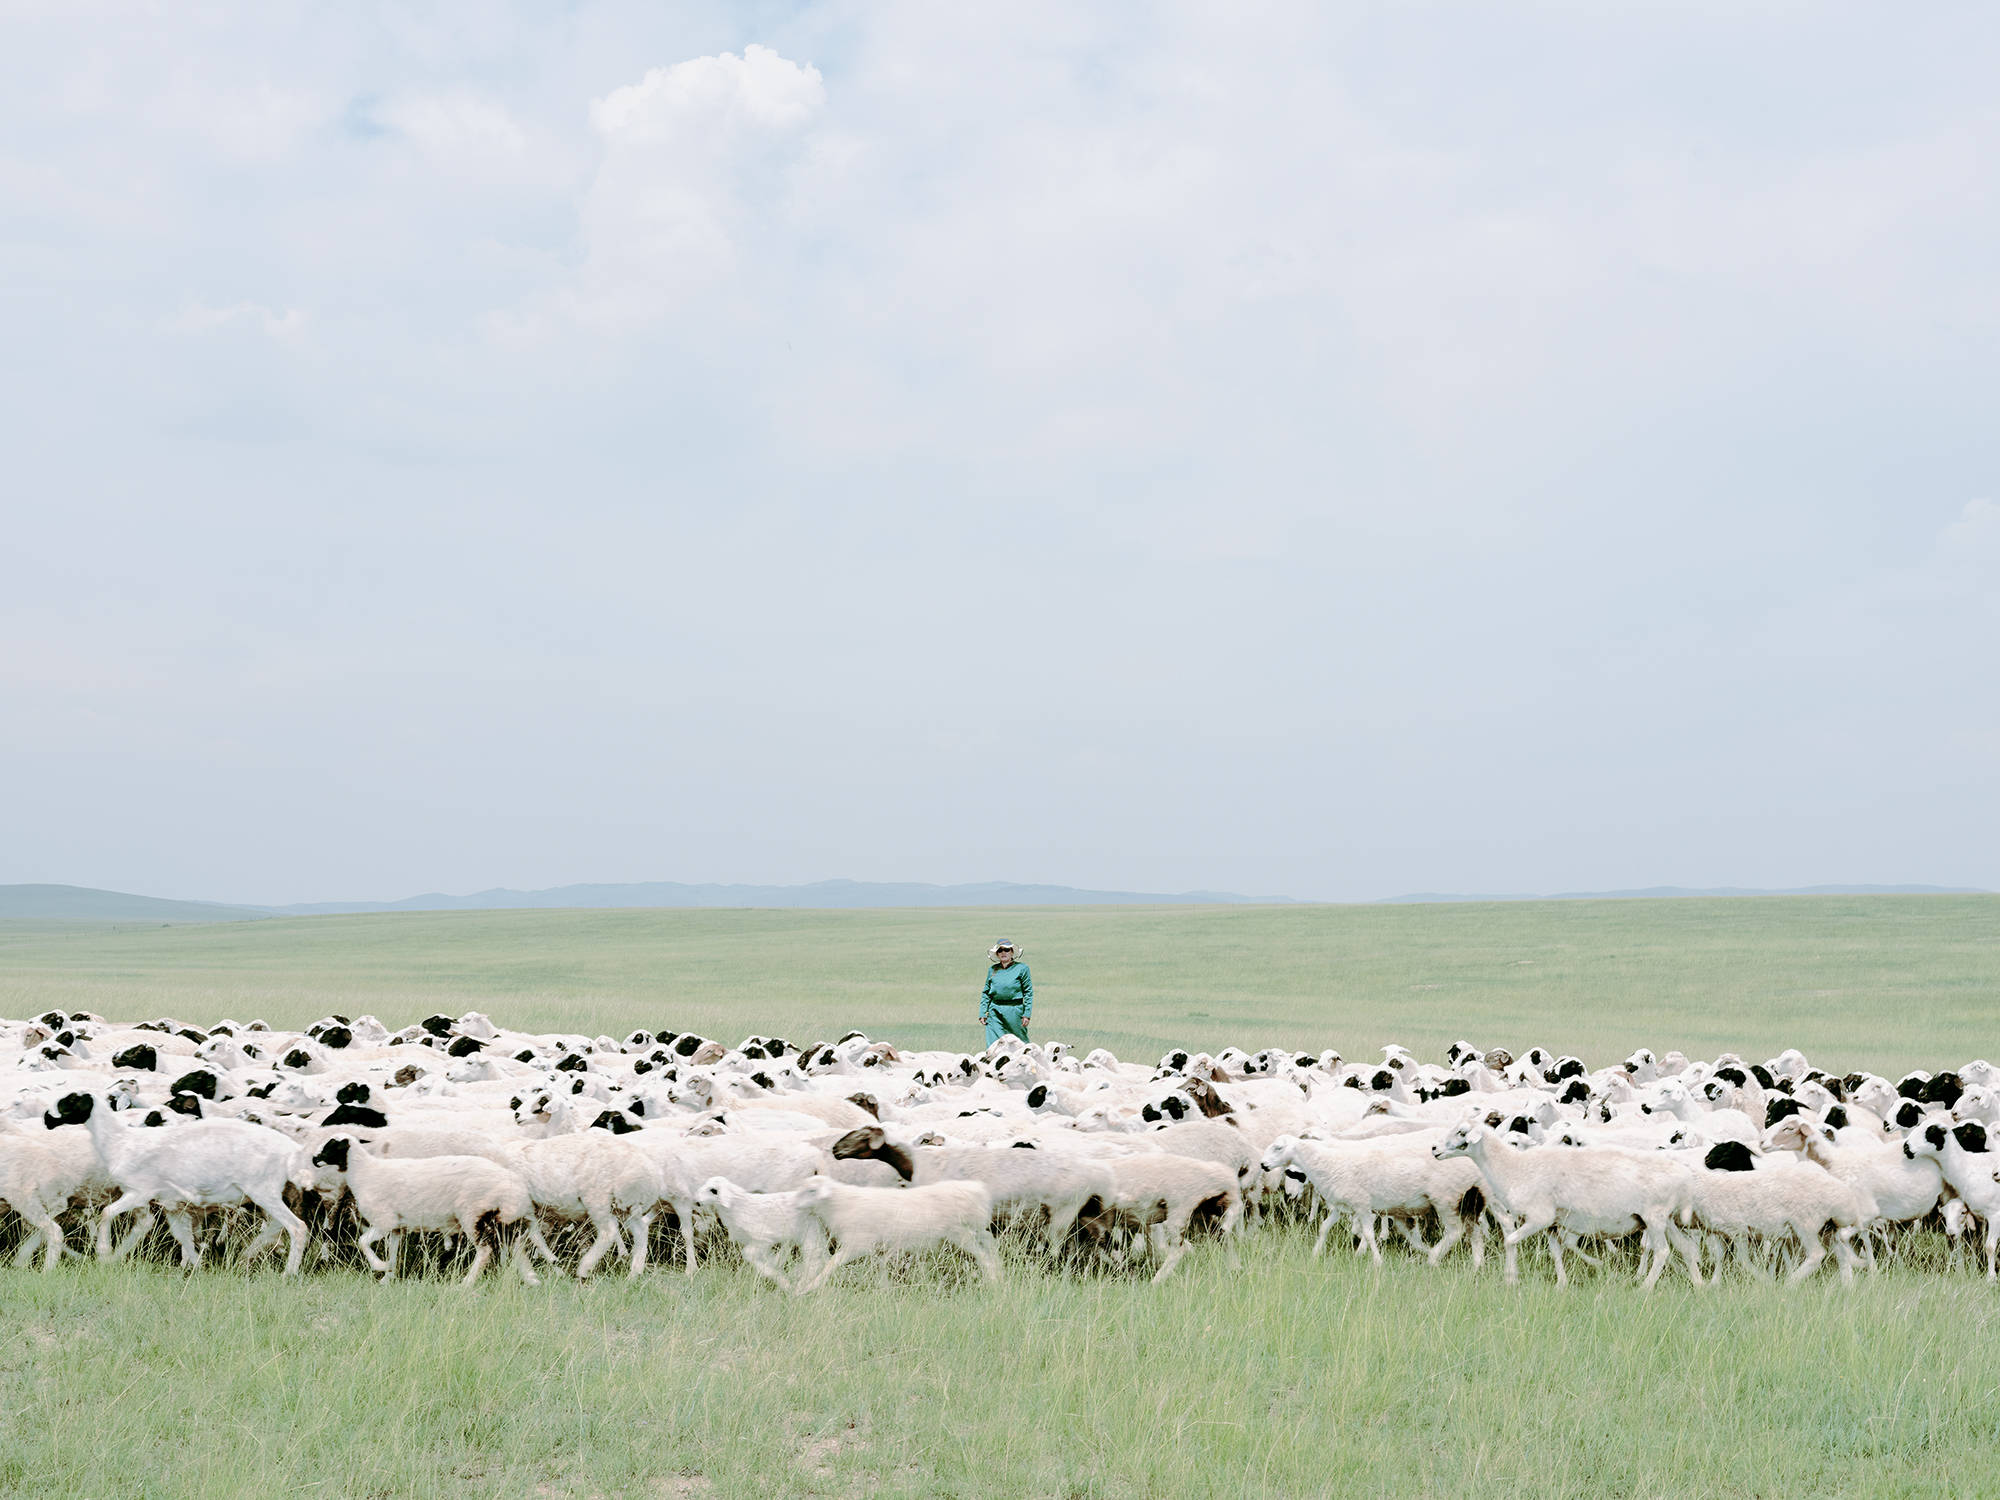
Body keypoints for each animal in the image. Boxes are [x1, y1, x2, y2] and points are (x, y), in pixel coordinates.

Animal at [308, 1136, 540, 1288]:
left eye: (330, 1145)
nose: (313, 1159)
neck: (363, 1173)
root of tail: (511, 1181)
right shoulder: (396, 1228)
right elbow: (393, 1253)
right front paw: (387, 1276)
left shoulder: (384, 1221)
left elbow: (362, 1242)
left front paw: (379, 1266)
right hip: (498, 1217)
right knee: (515, 1246)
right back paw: (531, 1279)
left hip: (473, 1214)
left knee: (485, 1250)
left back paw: (466, 1283)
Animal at [784, 1176, 996, 1296]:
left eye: (811, 1190)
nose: (792, 1205)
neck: (840, 1203)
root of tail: (976, 1190)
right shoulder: (878, 1248)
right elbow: (881, 1269)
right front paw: (884, 1291)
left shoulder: (857, 1243)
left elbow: (831, 1265)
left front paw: (807, 1288)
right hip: (974, 1231)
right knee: (990, 1245)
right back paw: (999, 1273)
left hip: (960, 1233)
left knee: (984, 1256)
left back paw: (994, 1281)